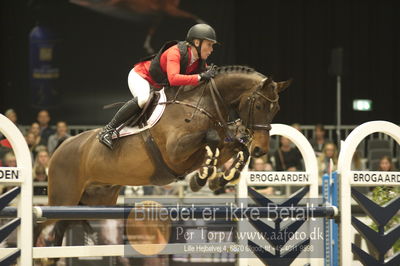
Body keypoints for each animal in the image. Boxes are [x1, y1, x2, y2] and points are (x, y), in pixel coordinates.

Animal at [35, 64, 290, 249]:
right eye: (259, 105)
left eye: (276, 109)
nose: (261, 150)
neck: (204, 104)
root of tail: (61, 147)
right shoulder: (175, 152)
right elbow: (211, 140)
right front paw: (203, 177)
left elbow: (235, 148)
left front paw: (219, 178)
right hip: (63, 198)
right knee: (42, 225)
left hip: (96, 200)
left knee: (61, 229)